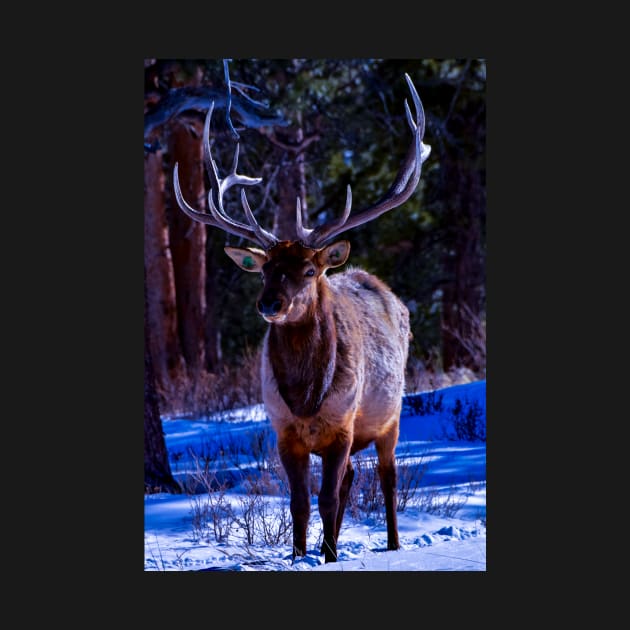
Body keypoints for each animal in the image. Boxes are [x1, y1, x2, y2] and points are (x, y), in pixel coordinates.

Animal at [173, 73, 432, 564]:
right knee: (352, 479)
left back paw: (392, 544)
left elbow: (327, 497)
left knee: (386, 478)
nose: (269, 304)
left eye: (309, 271)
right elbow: (299, 501)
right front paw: (300, 555)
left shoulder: (342, 424)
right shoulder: (284, 429)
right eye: (265, 270)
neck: (306, 397)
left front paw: (327, 557)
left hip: (390, 415)